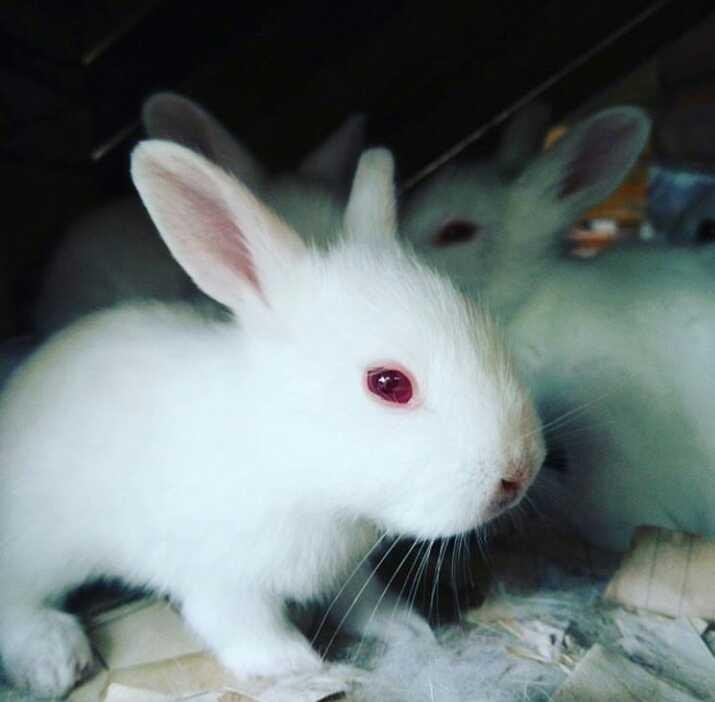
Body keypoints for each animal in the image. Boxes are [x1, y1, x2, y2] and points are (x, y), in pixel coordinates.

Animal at [0, 142, 545, 698]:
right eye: (389, 383)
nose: (519, 475)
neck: (290, 453)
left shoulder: (345, 570)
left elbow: (365, 599)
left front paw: (407, 627)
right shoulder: (222, 581)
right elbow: (245, 629)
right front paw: (302, 667)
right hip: (38, 545)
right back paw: (55, 657)